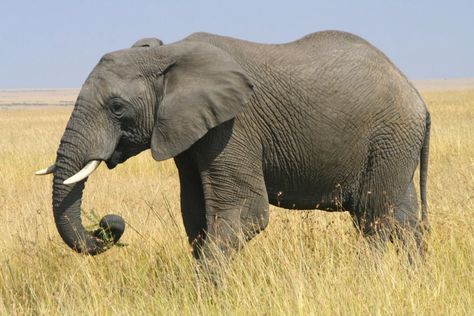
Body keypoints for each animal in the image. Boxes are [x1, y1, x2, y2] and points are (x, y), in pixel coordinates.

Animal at [36, 30, 430, 266]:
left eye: (117, 108)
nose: (110, 222)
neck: (168, 54)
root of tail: (418, 98)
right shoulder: (189, 132)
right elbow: (195, 215)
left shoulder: (234, 127)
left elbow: (246, 213)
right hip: (395, 146)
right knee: (404, 218)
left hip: (388, 137)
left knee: (375, 217)